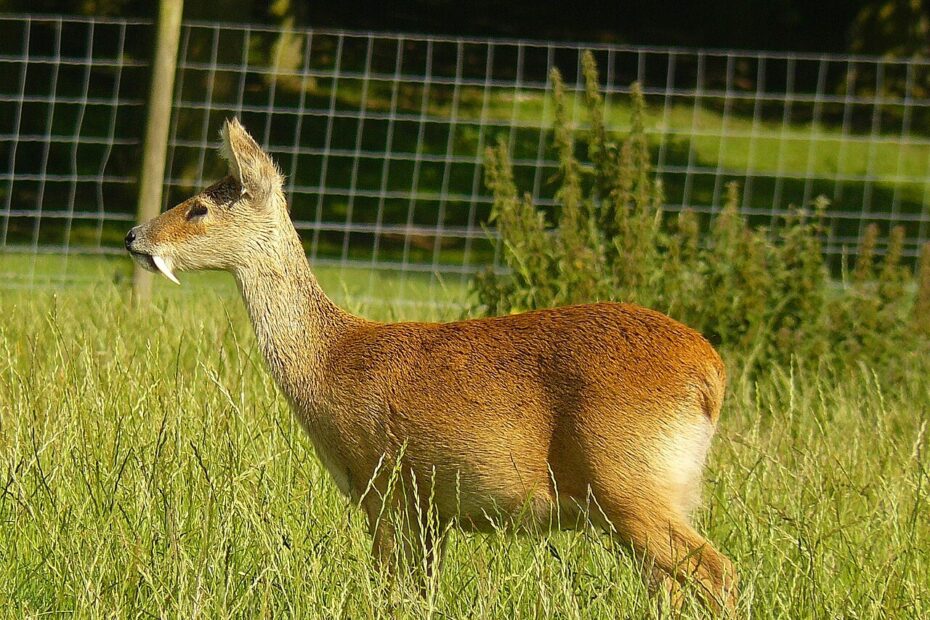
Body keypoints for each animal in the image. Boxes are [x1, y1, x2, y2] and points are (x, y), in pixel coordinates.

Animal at [124, 118, 737, 614]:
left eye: (200, 207)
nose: (134, 235)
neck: (329, 361)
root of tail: (710, 373)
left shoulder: (384, 488)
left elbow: (388, 590)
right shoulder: (429, 510)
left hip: (627, 482)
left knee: (720, 572)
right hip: (657, 494)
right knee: (671, 585)